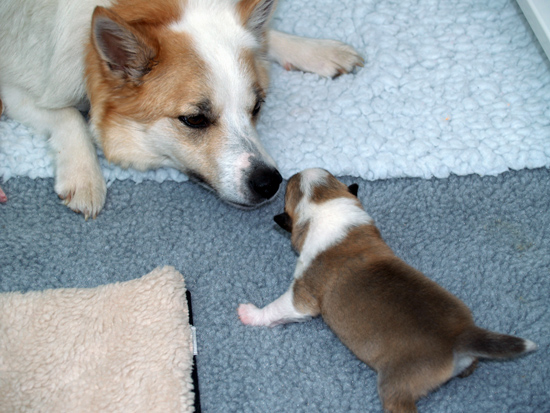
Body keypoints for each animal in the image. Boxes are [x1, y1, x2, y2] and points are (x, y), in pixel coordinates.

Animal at [0, 0, 364, 219]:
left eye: (257, 107)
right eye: (194, 120)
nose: (269, 183)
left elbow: (269, 37)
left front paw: (316, 50)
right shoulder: (14, 86)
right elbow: (69, 116)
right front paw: (84, 175)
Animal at [238, 167, 540, 412]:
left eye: (288, 190)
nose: (289, 175)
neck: (325, 204)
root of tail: (460, 336)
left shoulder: (302, 296)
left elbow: (277, 308)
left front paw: (250, 314)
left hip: (394, 385)